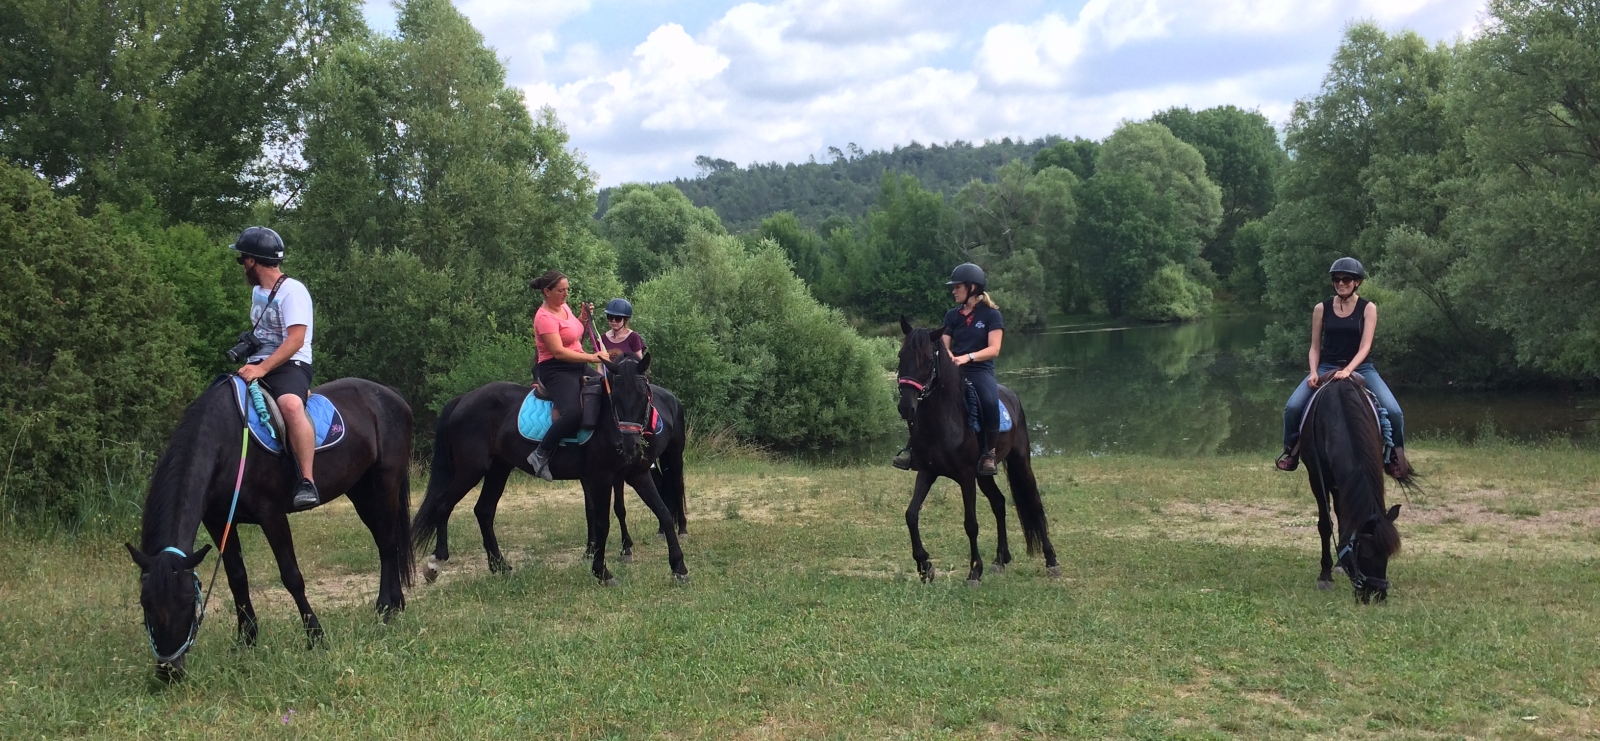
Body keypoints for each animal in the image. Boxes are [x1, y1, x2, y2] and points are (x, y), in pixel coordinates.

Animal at [124, 379, 416, 681]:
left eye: (187, 601)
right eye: (145, 603)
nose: (169, 671)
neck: (226, 444)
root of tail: (390, 395)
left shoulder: (271, 515)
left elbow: (292, 577)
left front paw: (315, 636)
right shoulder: (219, 521)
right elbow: (237, 578)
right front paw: (246, 639)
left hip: (385, 483)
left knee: (387, 543)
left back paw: (385, 609)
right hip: (360, 490)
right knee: (386, 542)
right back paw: (396, 604)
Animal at [409, 353, 684, 585]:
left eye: (643, 394)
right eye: (615, 397)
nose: (629, 446)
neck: (607, 423)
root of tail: (463, 400)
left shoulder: (637, 475)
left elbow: (663, 512)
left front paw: (679, 568)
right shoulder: (601, 479)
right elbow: (602, 523)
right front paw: (602, 572)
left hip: (498, 469)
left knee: (483, 511)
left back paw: (499, 565)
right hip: (471, 470)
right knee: (443, 505)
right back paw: (436, 563)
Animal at [896, 318, 1056, 585]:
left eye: (928, 359)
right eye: (900, 356)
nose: (906, 407)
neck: (944, 420)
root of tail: (1011, 395)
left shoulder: (966, 476)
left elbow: (971, 523)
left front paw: (974, 572)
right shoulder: (927, 472)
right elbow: (911, 514)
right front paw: (924, 566)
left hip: (1020, 462)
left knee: (1033, 502)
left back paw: (1051, 560)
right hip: (984, 475)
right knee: (999, 503)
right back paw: (1000, 559)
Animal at [1305, 377, 1408, 601]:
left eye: (1388, 555)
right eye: (1365, 556)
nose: (1378, 596)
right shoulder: (1317, 478)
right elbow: (1325, 525)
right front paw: (1324, 577)